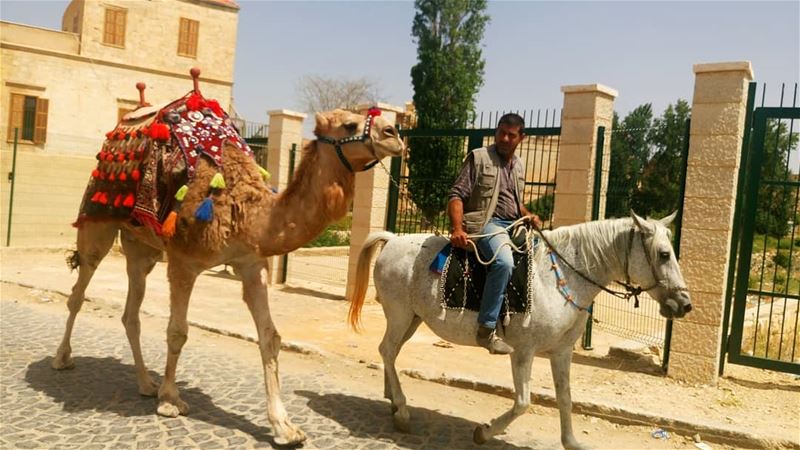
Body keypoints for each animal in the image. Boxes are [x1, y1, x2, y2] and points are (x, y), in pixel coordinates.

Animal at [52, 71, 404, 446]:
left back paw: (145, 383)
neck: (249, 211)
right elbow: (177, 331)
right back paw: (63, 359)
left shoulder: (251, 263)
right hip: (98, 221)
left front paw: (284, 427)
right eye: (350, 123)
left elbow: (270, 337)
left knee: (131, 311)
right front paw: (170, 400)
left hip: (140, 245)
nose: (394, 135)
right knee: (79, 290)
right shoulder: (183, 261)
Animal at [350, 213, 692, 448]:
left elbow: (565, 397)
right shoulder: (524, 352)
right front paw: (484, 431)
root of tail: (393, 238)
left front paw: (571, 442)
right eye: (664, 254)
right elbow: (524, 402)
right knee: (387, 350)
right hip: (399, 315)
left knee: (391, 353)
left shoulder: (561, 352)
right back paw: (402, 411)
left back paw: (394, 402)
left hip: (412, 319)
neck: (561, 277)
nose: (685, 304)